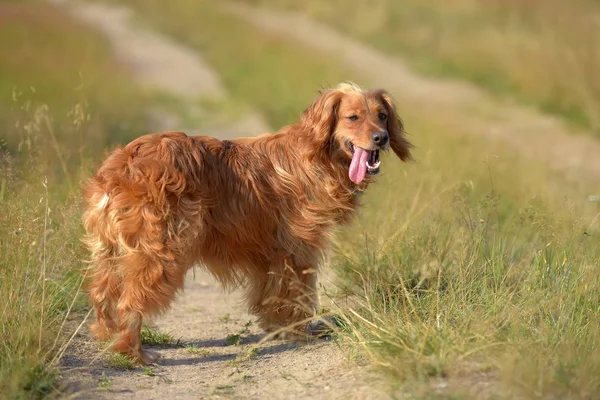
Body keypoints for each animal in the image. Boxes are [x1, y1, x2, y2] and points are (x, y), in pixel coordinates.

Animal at [83, 81, 412, 362]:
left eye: (382, 116)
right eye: (353, 117)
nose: (381, 138)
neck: (316, 155)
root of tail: (124, 162)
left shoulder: (271, 252)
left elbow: (272, 294)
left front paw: (277, 327)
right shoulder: (299, 247)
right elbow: (300, 292)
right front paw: (300, 332)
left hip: (110, 251)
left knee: (101, 294)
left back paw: (106, 336)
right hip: (162, 250)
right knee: (130, 302)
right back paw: (134, 353)